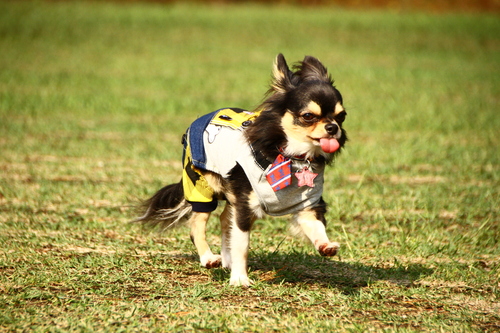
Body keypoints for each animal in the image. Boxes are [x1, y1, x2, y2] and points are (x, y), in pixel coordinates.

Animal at [137, 54, 348, 286]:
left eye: (341, 116)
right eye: (308, 116)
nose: (333, 128)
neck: (294, 157)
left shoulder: (307, 204)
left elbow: (316, 227)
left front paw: (325, 245)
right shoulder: (245, 208)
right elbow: (242, 246)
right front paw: (239, 279)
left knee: (224, 220)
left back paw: (226, 260)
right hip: (202, 187)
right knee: (197, 226)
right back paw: (209, 258)